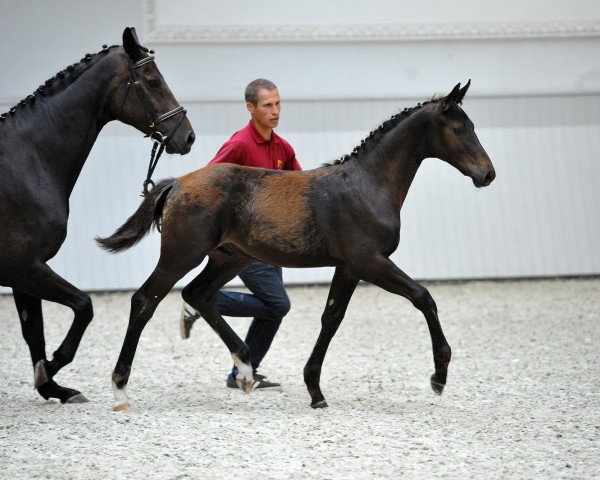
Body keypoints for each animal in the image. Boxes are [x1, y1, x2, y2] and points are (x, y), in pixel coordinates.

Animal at [0, 25, 195, 402]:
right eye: (153, 81)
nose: (188, 136)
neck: (28, 160)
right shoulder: (22, 266)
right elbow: (84, 306)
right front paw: (52, 369)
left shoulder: (25, 271)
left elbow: (34, 332)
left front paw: (52, 386)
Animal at [97, 81, 492, 408]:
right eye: (458, 129)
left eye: (472, 125)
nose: (488, 174)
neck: (368, 185)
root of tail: (177, 183)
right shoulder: (370, 262)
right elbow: (423, 297)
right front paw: (439, 375)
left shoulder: (348, 267)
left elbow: (331, 318)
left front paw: (315, 390)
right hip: (181, 255)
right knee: (145, 300)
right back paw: (120, 388)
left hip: (230, 259)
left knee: (198, 294)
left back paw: (245, 369)